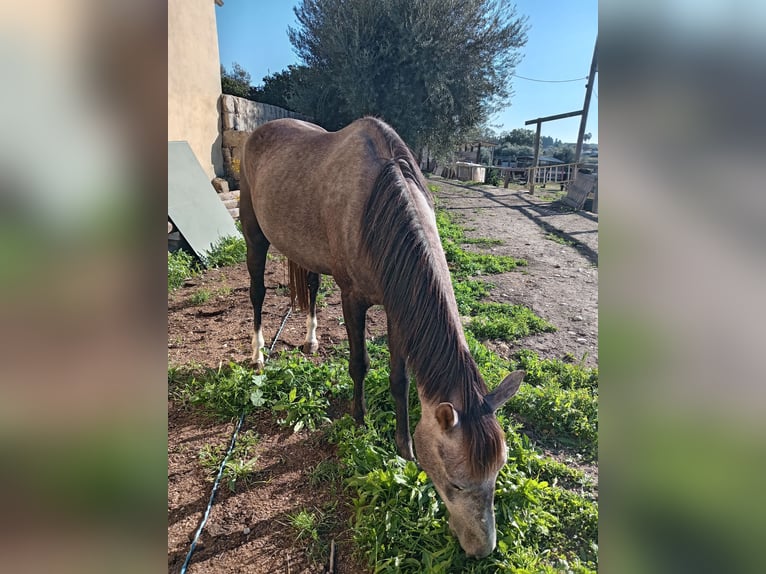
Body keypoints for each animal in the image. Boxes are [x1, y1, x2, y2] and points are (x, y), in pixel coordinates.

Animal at [239, 116, 525, 558]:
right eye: (455, 483)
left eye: (497, 475)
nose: (481, 550)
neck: (378, 201)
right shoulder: (353, 299)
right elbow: (359, 364)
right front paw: (359, 422)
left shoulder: (396, 307)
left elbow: (399, 379)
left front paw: (404, 450)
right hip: (254, 232)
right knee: (256, 290)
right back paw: (257, 355)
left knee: (311, 285)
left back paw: (311, 340)